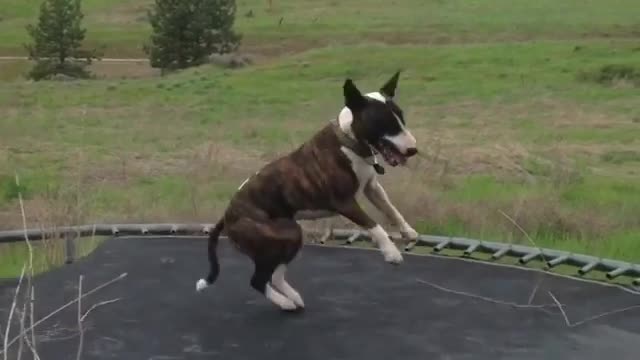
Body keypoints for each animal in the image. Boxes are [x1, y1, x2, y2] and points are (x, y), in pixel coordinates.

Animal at [198, 71, 422, 310]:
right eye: (383, 122)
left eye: (401, 117)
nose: (413, 150)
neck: (348, 140)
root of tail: (227, 215)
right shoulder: (345, 202)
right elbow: (374, 225)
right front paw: (391, 253)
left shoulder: (372, 187)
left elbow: (391, 209)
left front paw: (407, 231)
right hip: (283, 235)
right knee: (258, 280)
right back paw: (284, 303)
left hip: (286, 240)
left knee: (274, 276)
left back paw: (293, 298)